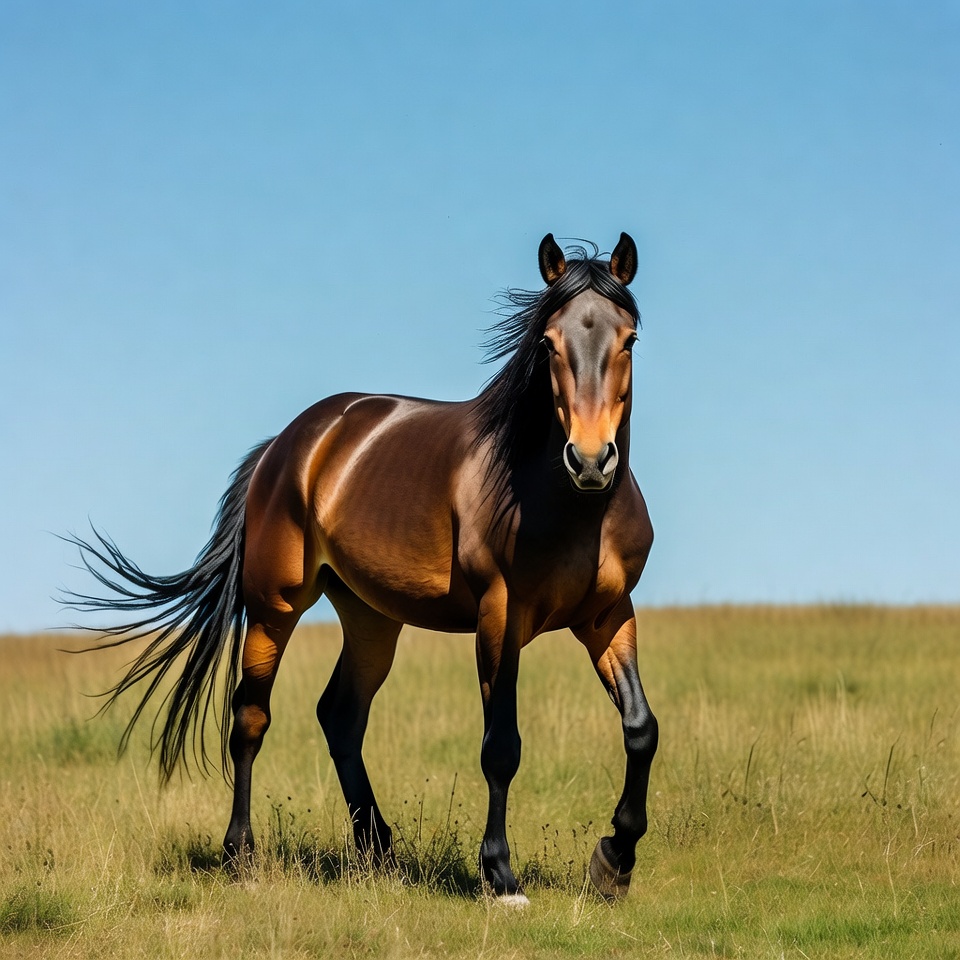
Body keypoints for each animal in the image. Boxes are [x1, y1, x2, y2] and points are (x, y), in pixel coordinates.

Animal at [67, 232, 658, 904]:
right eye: (548, 344)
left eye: (629, 340)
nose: (589, 460)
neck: (568, 504)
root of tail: (286, 445)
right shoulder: (500, 618)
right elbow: (500, 746)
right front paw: (501, 874)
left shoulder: (608, 616)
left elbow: (641, 728)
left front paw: (614, 860)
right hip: (273, 608)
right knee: (250, 717)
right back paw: (242, 855)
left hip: (371, 618)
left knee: (341, 716)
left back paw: (376, 848)